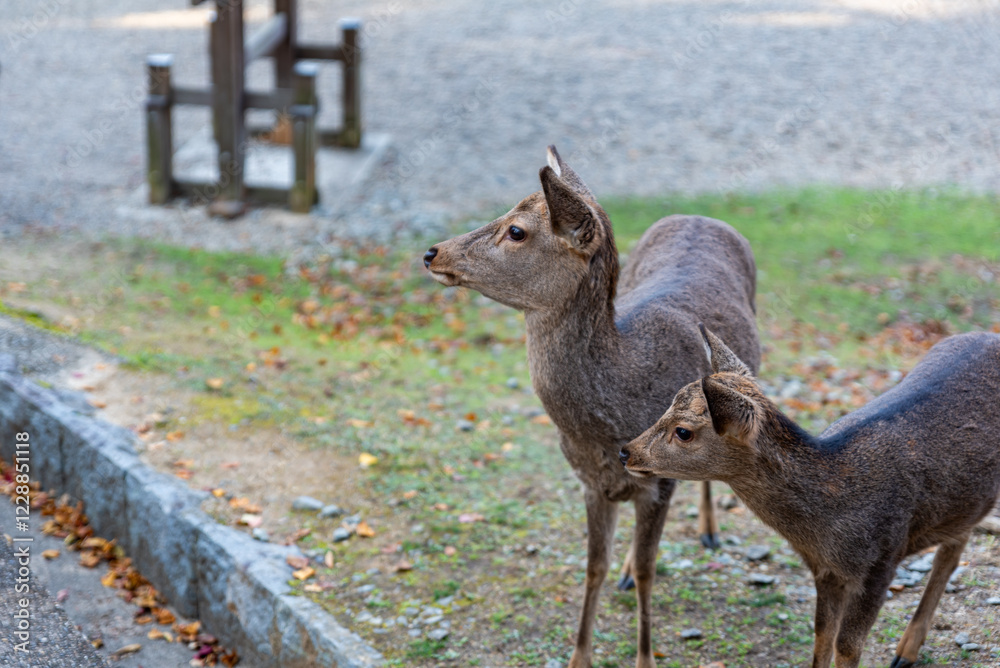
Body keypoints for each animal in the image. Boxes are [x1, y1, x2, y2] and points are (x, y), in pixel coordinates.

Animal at [423, 147, 760, 668]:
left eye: (516, 230)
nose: (432, 252)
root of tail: (701, 214)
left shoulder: (659, 483)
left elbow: (648, 572)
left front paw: (645, 658)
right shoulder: (588, 482)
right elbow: (593, 567)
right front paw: (579, 655)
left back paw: (708, 530)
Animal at [620, 324, 1000, 668]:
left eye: (683, 431)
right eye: (667, 406)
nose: (626, 452)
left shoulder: (883, 559)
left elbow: (847, 646)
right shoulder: (823, 569)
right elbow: (821, 636)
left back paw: (904, 653)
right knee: (956, 543)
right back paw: (906, 652)